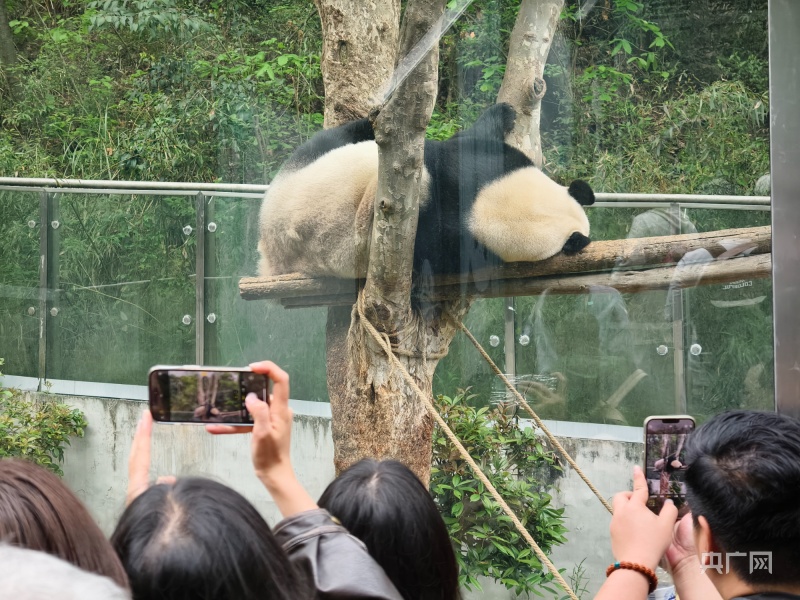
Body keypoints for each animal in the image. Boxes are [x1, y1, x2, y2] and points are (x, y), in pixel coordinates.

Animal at [256, 103, 592, 282]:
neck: (479, 206)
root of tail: (270, 250)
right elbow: (466, 140)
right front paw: (504, 114)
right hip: (305, 169)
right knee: (353, 132)